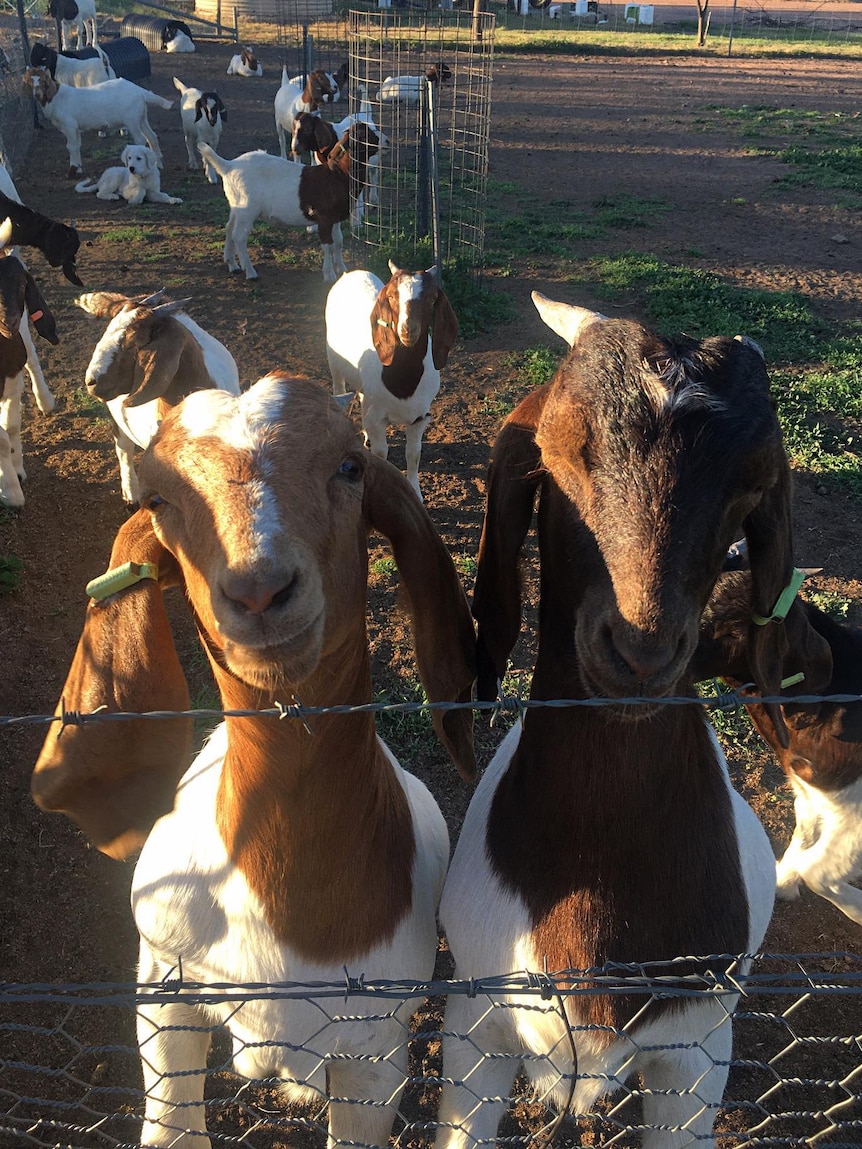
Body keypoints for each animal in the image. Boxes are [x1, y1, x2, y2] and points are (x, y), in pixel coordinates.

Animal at [24, 68, 173, 176]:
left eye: (44, 81)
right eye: (30, 82)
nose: (37, 94)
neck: (56, 98)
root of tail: (140, 92)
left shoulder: (69, 126)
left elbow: (71, 146)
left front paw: (72, 171)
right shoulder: (76, 129)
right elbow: (77, 146)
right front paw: (78, 168)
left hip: (132, 120)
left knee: (140, 139)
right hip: (141, 117)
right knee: (151, 136)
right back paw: (158, 165)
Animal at [32, 372, 480, 1144]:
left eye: (349, 466)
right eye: (158, 498)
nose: (259, 589)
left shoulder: (376, 1050)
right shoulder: (165, 989)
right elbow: (173, 1124)